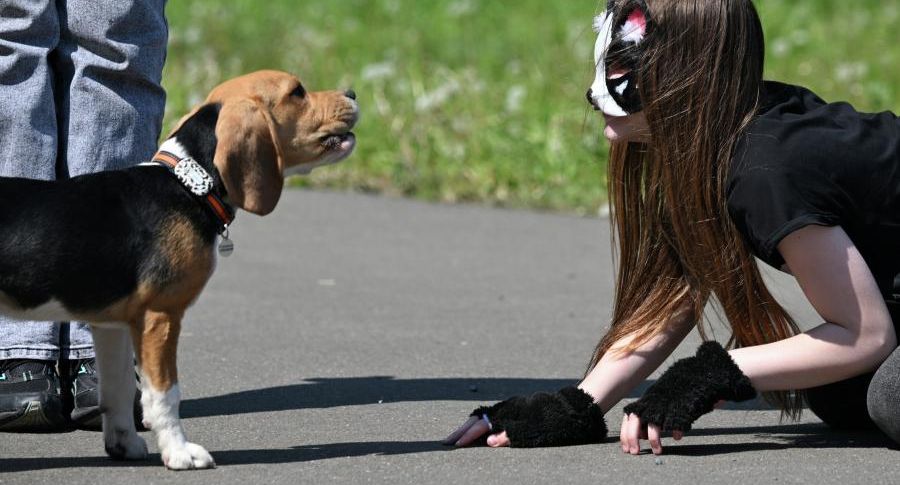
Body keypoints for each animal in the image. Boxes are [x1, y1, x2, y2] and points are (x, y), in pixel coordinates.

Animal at [0, 70, 356, 466]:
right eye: (297, 92)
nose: (353, 94)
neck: (189, 183)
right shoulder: (160, 315)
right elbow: (165, 394)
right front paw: (180, 452)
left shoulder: (113, 325)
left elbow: (118, 390)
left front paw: (124, 444)